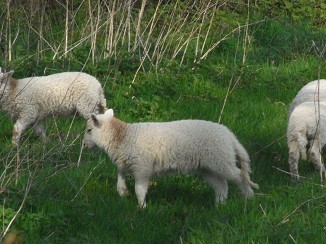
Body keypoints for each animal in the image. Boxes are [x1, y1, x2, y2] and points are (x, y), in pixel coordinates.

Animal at [83, 109, 258, 207]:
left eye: (89, 130)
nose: (84, 144)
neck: (123, 137)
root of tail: (230, 136)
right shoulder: (126, 163)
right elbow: (120, 177)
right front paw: (122, 192)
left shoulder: (142, 167)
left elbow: (140, 190)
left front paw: (142, 207)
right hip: (209, 166)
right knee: (221, 186)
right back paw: (219, 206)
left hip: (222, 159)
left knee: (240, 177)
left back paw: (249, 199)